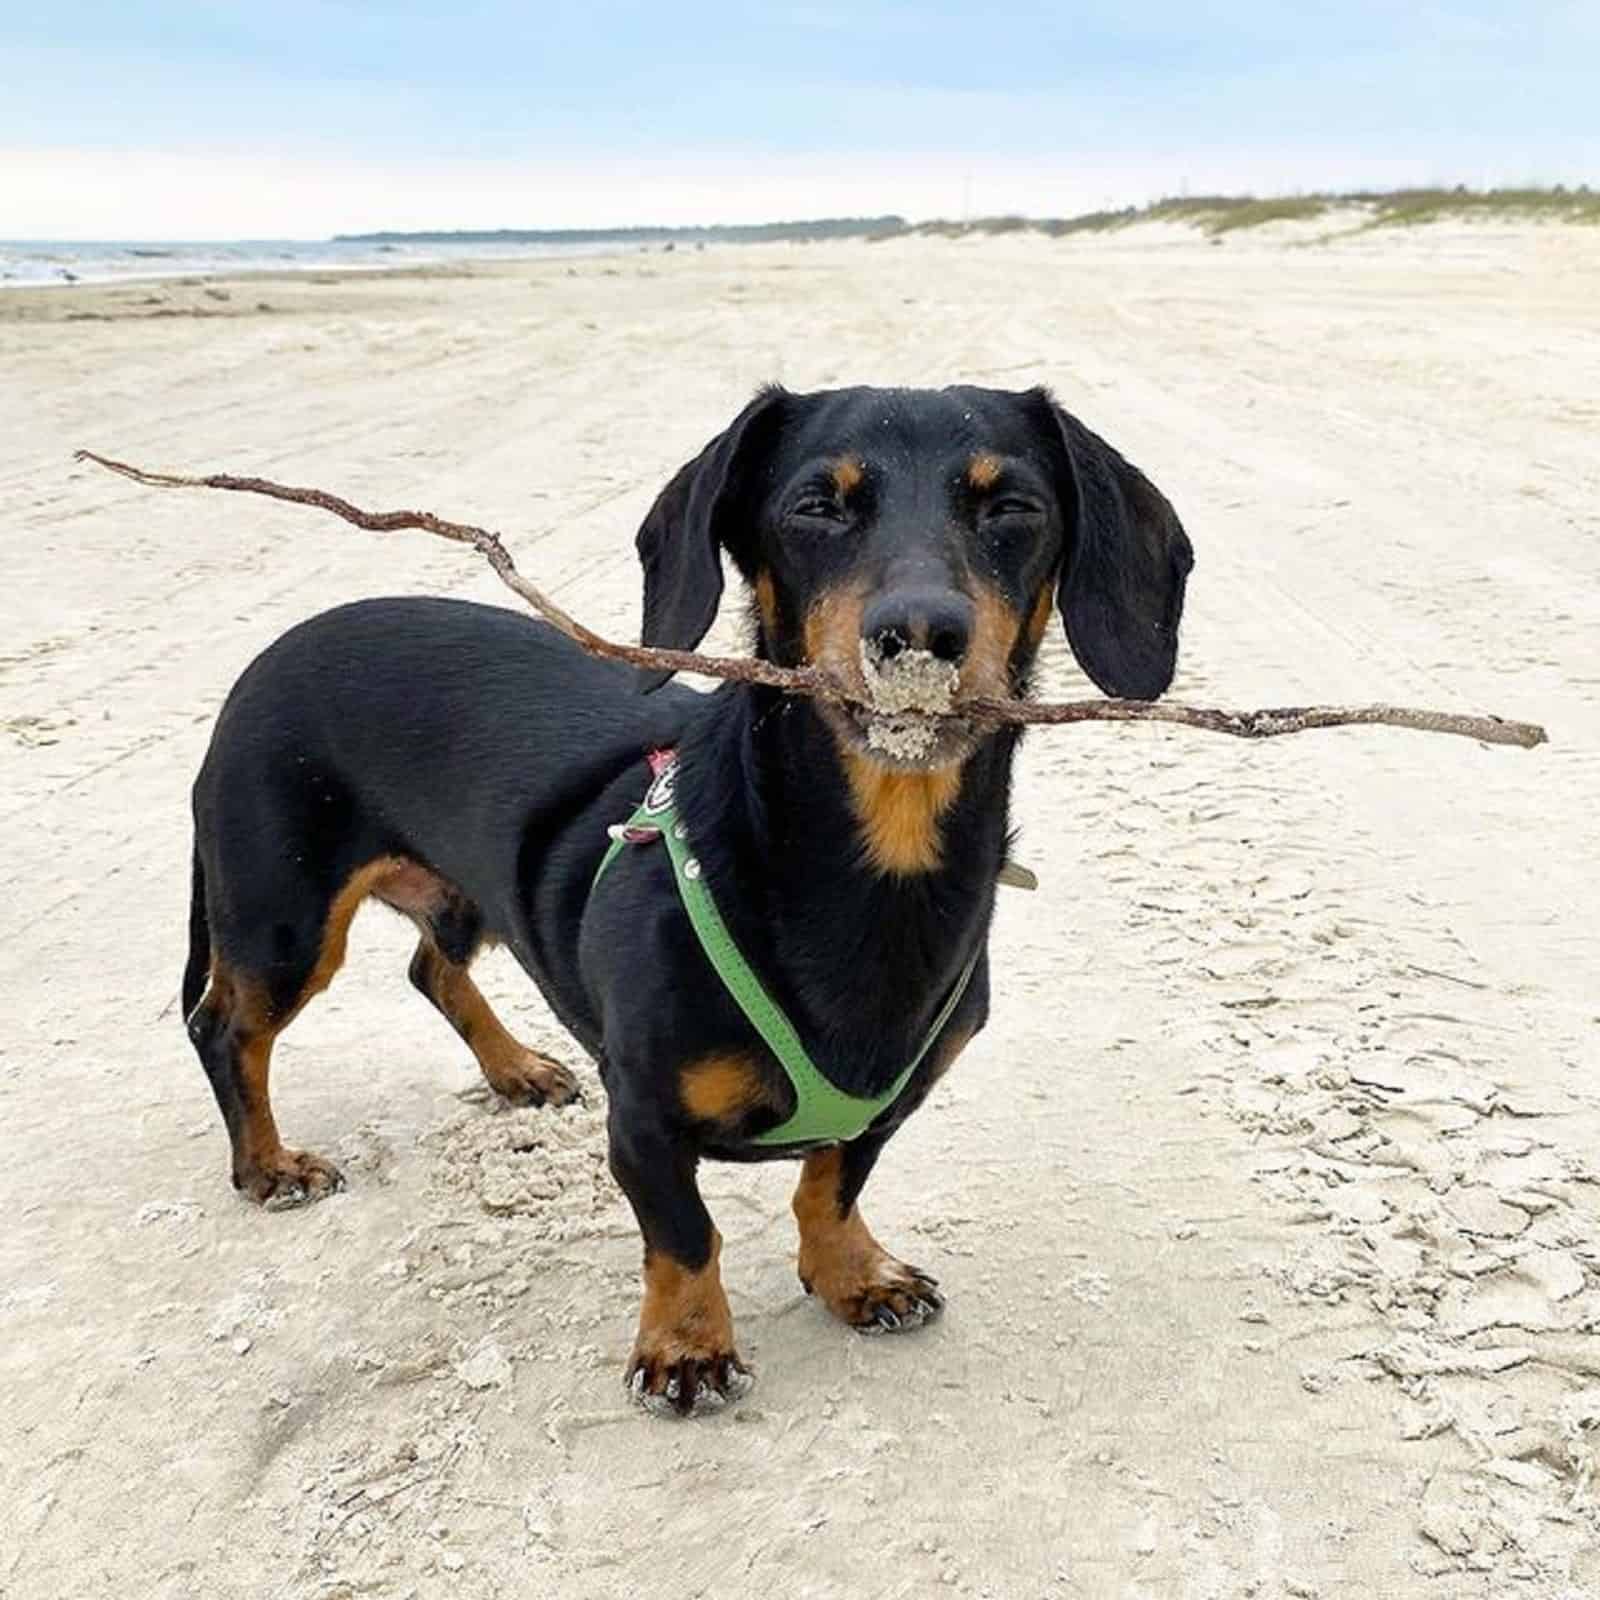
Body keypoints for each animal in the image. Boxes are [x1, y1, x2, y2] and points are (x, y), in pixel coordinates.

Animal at [184, 384, 1190, 1414]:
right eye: (815, 507)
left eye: (1012, 508)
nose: (919, 639)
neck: (870, 874)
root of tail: (275, 652)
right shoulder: (641, 1117)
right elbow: (685, 1234)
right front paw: (687, 1347)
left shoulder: (883, 1106)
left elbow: (832, 1186)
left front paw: (853, 1275)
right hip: (285, 920)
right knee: (227, 1029)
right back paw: (268, 1166)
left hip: (454, 898)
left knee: (431, 968)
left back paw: (516, 1070)